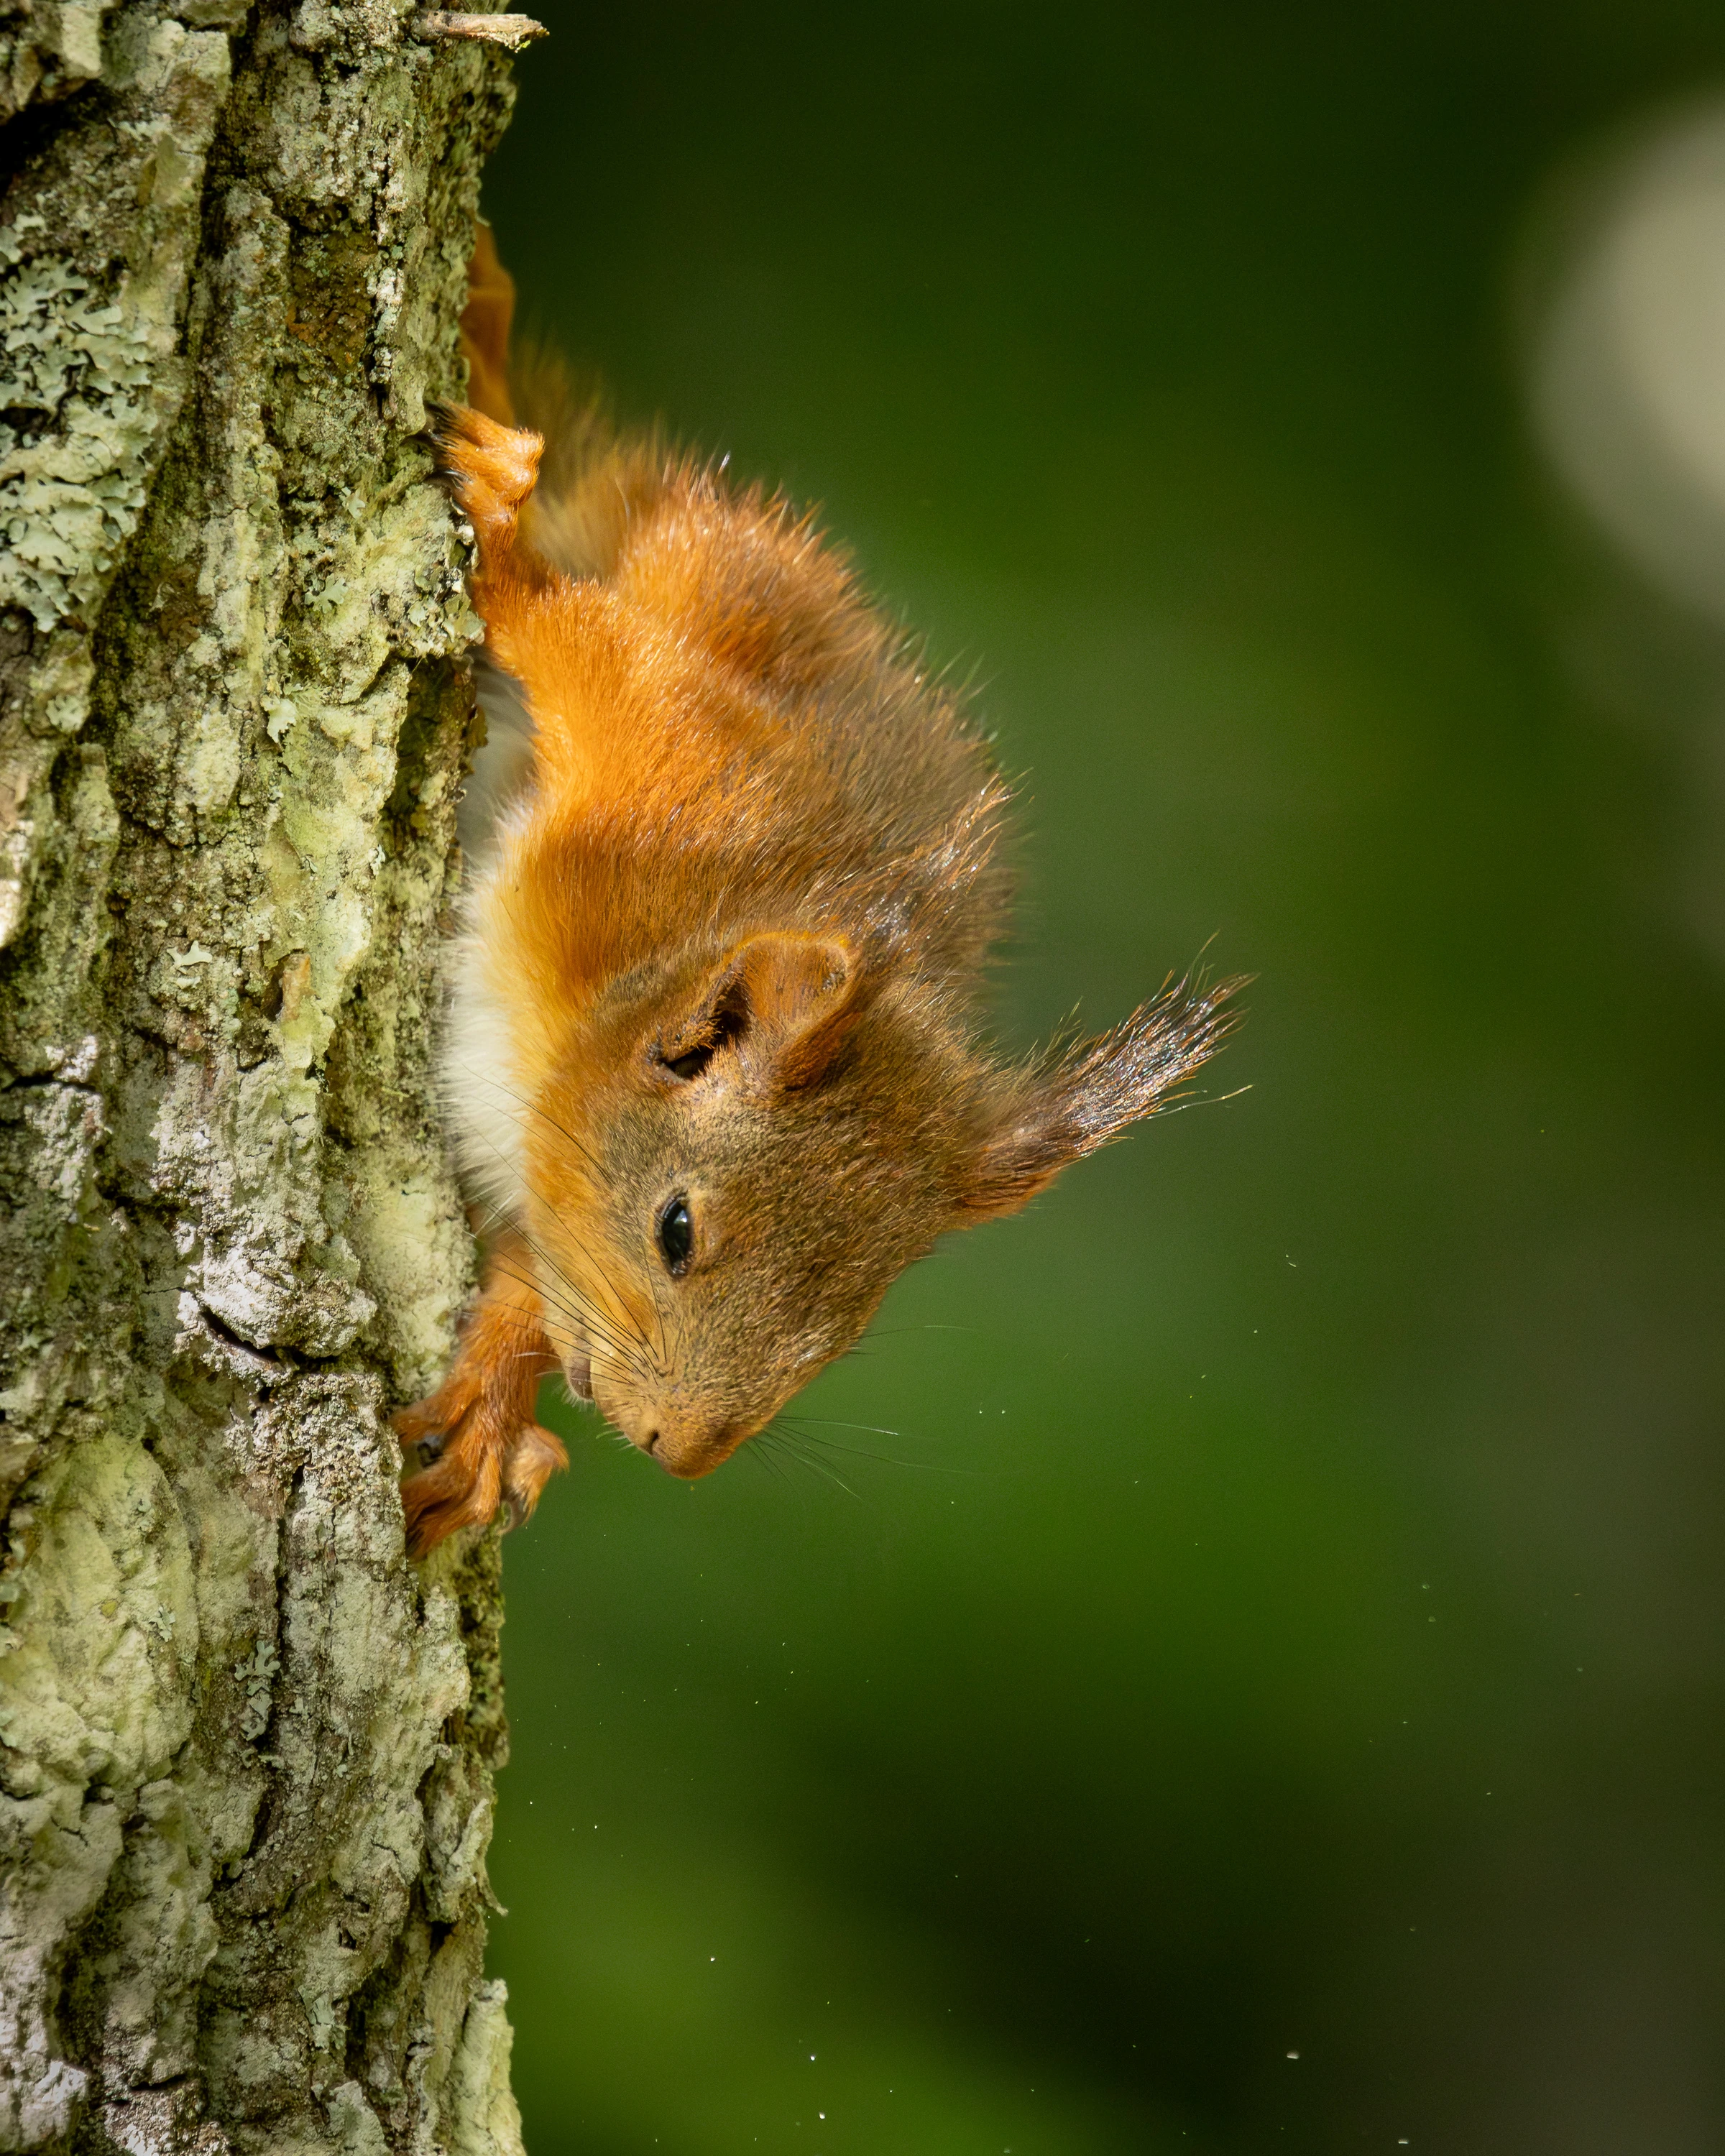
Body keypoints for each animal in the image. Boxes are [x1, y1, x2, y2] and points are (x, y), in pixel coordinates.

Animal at [394, 226, 1244, 1554]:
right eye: (677, 1232)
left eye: (855, 1319)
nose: (680, 1453)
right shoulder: (671, 787)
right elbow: (592, 654)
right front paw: (513, 562)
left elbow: (533, 1272)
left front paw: (490, 1406)